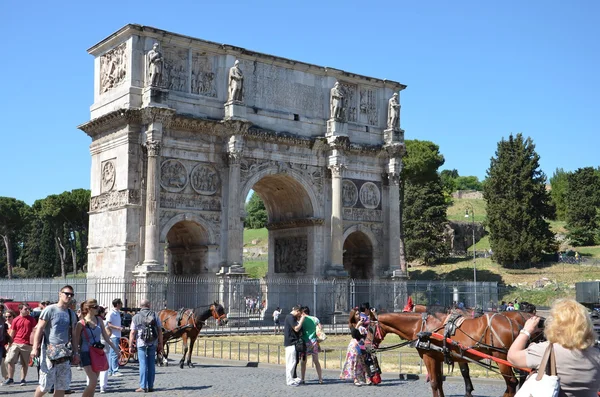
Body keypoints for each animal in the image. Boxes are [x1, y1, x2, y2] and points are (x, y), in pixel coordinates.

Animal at [366, 310, 528, 396]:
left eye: (369, 328)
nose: (366, 347)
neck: (422, 327)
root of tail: (516, 324)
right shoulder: (437, 358)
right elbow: (439, 381)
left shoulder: (428, 357)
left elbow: (433, 382)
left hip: (500, 357)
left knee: (512, 383)